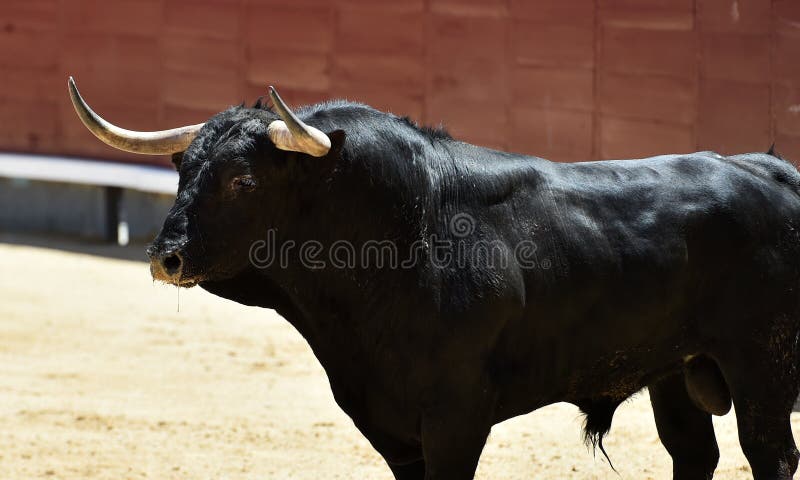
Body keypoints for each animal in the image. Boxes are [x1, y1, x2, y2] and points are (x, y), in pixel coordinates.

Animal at [75, 89, 800, 476]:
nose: (164, 258)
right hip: (676, 371)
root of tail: (771, 171)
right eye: (183, 170)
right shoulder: (386, 421)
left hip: (761, 368)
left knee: (769, 455)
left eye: (243, 181)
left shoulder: (456, 418)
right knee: (694, 454)